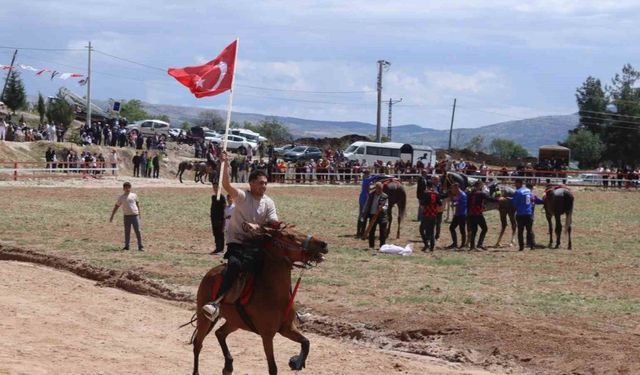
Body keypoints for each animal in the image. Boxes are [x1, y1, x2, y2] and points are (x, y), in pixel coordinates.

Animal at [189, 225, 330, 375]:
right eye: (290, 236)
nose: (323, 244)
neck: (274, 294)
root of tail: (210, 273)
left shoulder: (287, 328)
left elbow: (306, 342)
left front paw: (295, 362)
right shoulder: (267, 335)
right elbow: (273, 368)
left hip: (235, 322)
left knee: (220, 333)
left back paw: (228, 366)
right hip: (204, 318)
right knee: (198, 343)